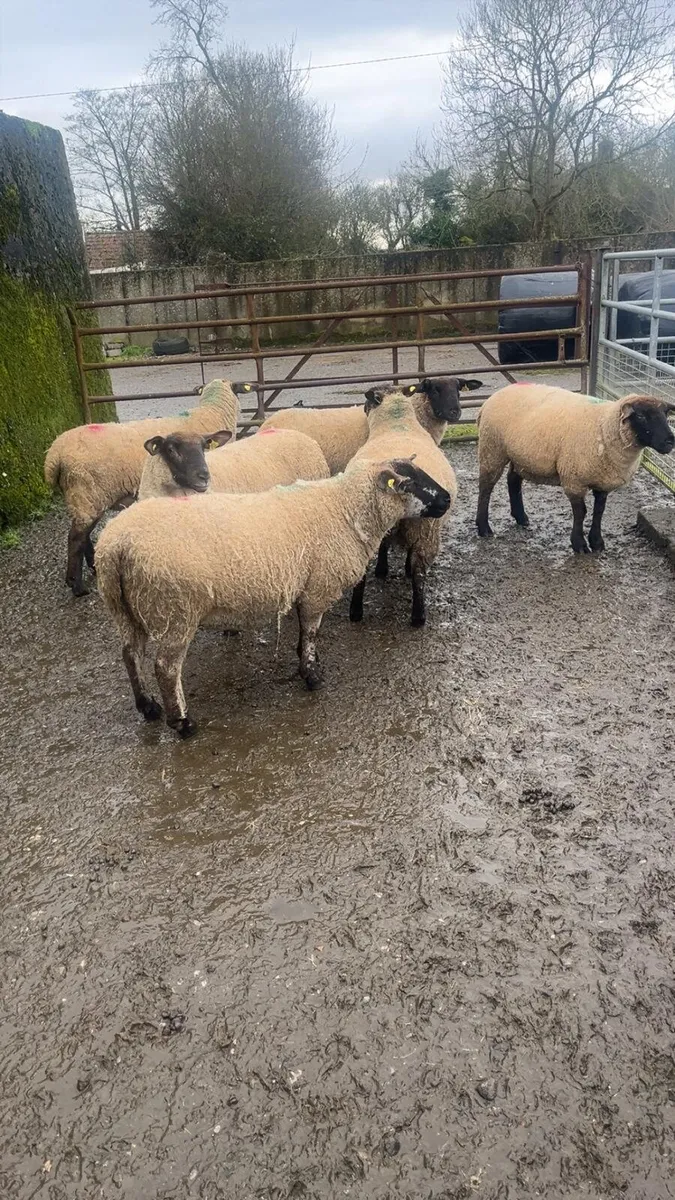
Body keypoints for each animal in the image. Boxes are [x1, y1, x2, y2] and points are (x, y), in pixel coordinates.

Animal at [44, 378, 250, 596]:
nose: (203, 476)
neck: (211, 413)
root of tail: (54, 454)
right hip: (86, 493)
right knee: (75, 538)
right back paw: (76, 586)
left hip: (85, 498)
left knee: (84, 536)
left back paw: (92, 568)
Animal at [95, 457, 452, 738]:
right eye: (410, 482)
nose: (447, 499)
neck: (344, 508)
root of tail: (115, 545)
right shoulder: (318, 587)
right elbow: (311, 633)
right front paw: (312, 676)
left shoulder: (304, 588)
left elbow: (306, 634)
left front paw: (306, 663)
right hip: (174, 609)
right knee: (166, 669)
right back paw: (182, 723)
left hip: (124, 608)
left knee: (130, 654)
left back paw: (148, 707)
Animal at [348, 385, 459, 627]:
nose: (362, 409)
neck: (396, 423)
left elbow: (384, 546)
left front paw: (382, 570)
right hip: (426, 531)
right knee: (419, 574)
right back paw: (418, 616)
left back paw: (356, 612)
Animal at [476, 383, 675, 552]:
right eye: (641, 416)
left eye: (665, 415)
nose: (670, 441)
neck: (604, 426)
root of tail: (490, 400)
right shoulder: (574, 479)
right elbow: (581, 513)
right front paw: (579, 544)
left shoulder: (603, 482)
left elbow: (599, 511)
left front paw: (597, 542)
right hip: (492, 449)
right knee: (486, 488)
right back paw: (483, 528)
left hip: (520, 455)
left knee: (513, 480)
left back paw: (521, 517)